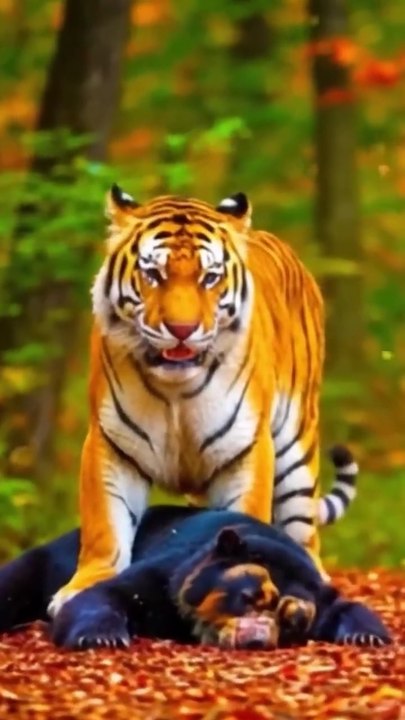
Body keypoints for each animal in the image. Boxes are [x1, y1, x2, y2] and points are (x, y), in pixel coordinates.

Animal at [48, 186, 358, 617]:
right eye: (153, 274)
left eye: (209, 277)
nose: (182, 329)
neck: (175, 391)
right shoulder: (111, 444)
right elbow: (105, 526)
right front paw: (84, 586)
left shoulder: (246, 449)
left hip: (297, 446)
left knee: (301, 528)